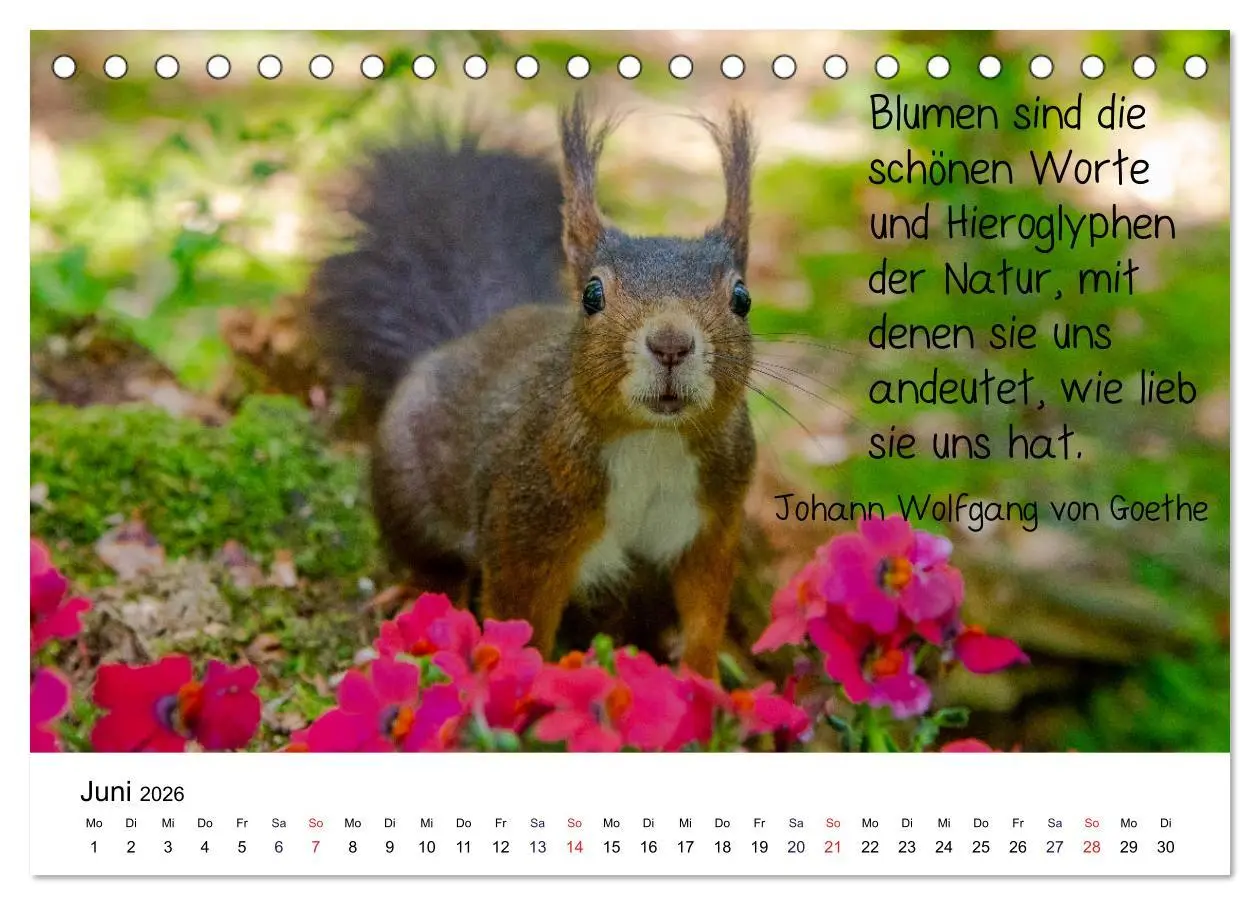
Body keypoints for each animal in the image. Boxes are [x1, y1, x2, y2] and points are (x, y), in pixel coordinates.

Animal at [309, 97, 757, 677]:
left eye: (742, 298)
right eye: (592, 295)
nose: (671, 344)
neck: (653, 441)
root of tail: (467, 337)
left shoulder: (714, 519)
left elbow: (705, 606)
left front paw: (704, 681)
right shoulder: (525, 520)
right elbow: (519, 613)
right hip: (402, 483)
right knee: (427, 558)